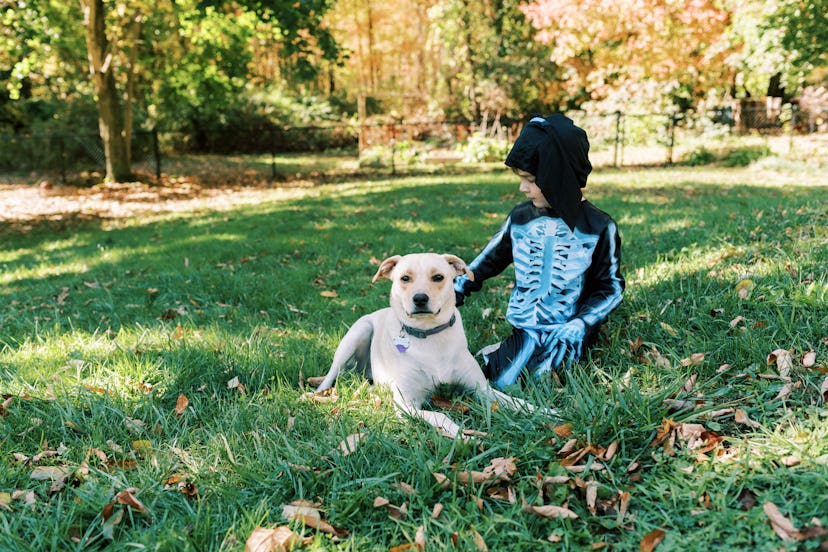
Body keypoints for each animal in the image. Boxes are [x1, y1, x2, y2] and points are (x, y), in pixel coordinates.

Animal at [316, 254, 544, 440]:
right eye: (405, 278)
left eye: (438, 277)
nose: (420, 298)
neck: (429, 335)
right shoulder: (406, 405)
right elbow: (440, 415)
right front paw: (462, 434)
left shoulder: (482, 389)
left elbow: (516, 402)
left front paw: (545, 412)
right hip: (358, 332)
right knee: (331, 373)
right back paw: (318, 394)